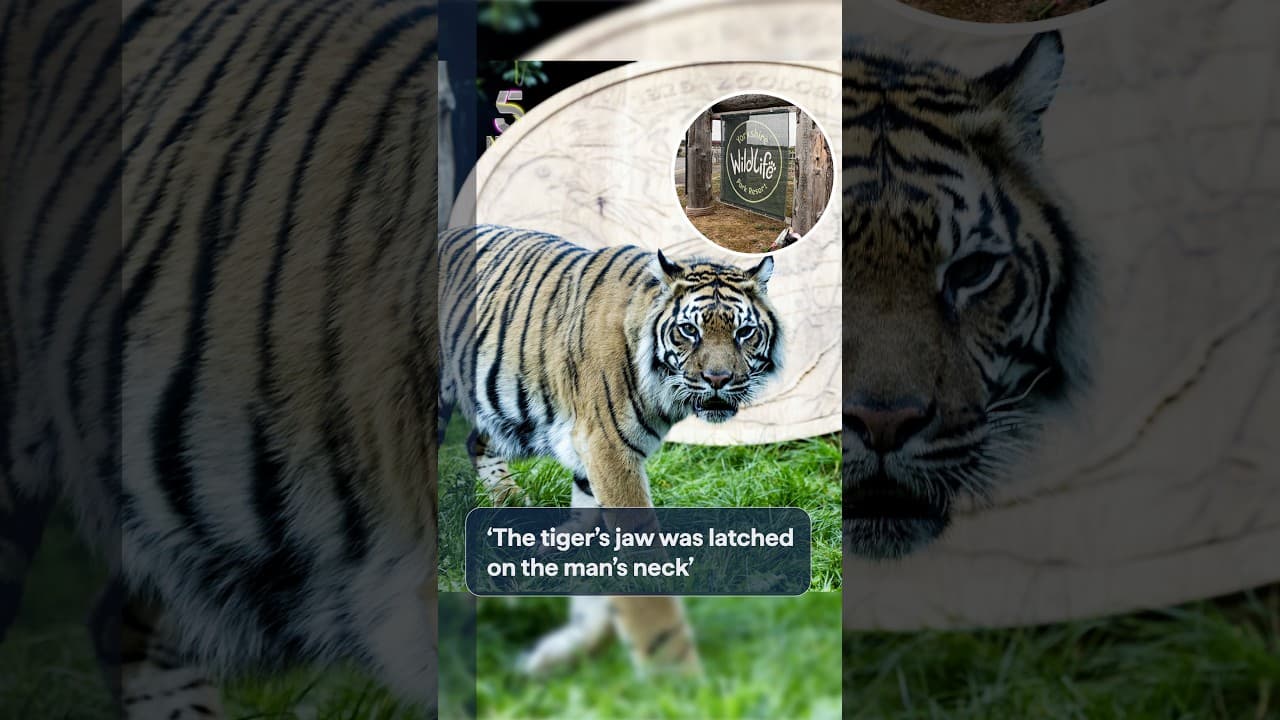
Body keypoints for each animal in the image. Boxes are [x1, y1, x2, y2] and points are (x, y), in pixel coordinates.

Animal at [437, 223, 782, 675]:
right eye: (689, 331)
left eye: (744, 332)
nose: (718, 379)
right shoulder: (608, 449)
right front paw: (678, 675)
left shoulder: (593, 457)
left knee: (477, 440)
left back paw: (513, 508)